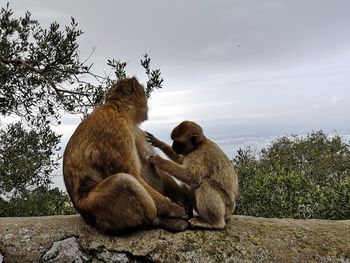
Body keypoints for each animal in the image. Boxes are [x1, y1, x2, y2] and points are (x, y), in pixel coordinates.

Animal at [63, 77, 189, 234]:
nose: (147, 106)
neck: (120, 109)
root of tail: (86, 217)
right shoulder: (115, 129)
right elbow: (130, 173)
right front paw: (175, 209)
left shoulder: (135, 130)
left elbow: (151, 159)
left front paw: (184, 200)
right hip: (96, 208)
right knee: (122, 181)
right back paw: (159, 221)